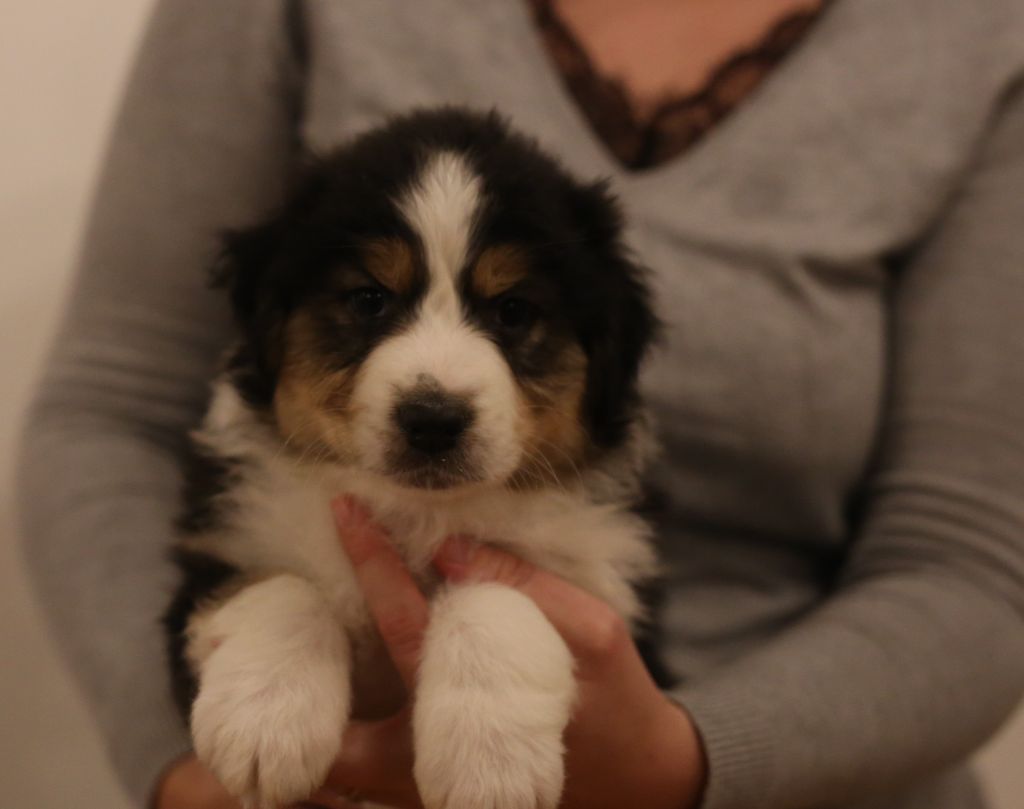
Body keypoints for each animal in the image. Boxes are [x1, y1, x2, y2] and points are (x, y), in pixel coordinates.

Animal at [164, 107, 660, 809]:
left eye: (513, 311)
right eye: (370, 299)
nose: (433, 420)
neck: (416, 513)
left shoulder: (600, 590)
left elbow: (494, 586)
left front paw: (490, 762)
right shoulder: (226, 539)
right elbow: (281, 584)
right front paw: (265, 719)